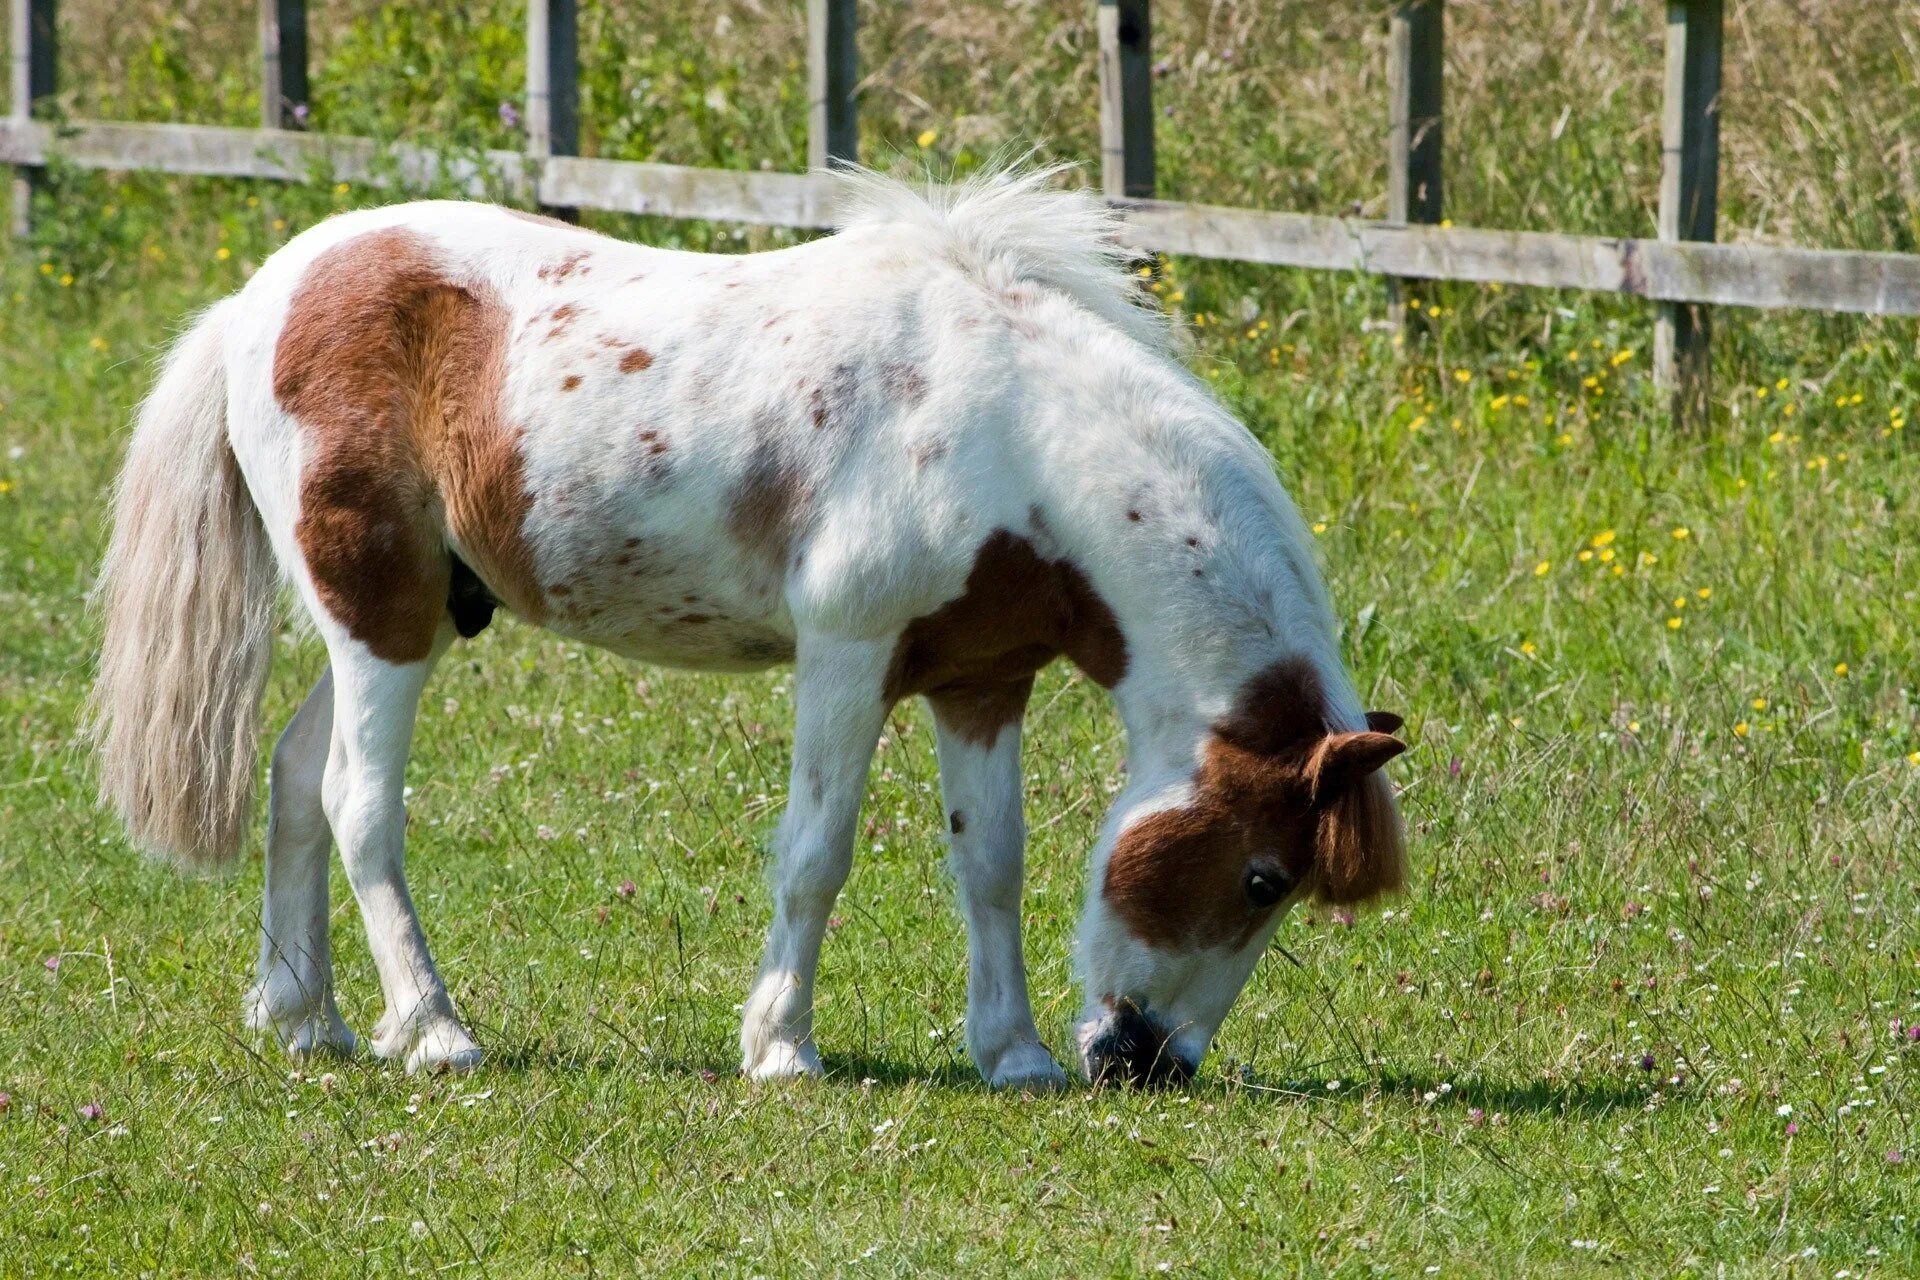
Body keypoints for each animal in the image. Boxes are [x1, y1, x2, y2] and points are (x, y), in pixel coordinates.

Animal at [90, 167, 1405, 1090]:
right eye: (1261, 874)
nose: (1146, 1061)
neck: (1012, 436)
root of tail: (260, 299)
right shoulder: (847, 655)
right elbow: (815, 851)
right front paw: (782, 1046)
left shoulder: (981, 679)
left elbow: (992, 860)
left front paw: (1013, 1052)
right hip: (379, 617)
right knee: (359, 803)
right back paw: (434, 1030)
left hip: (400, 619)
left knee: (296, 776)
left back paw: (307, 1018)